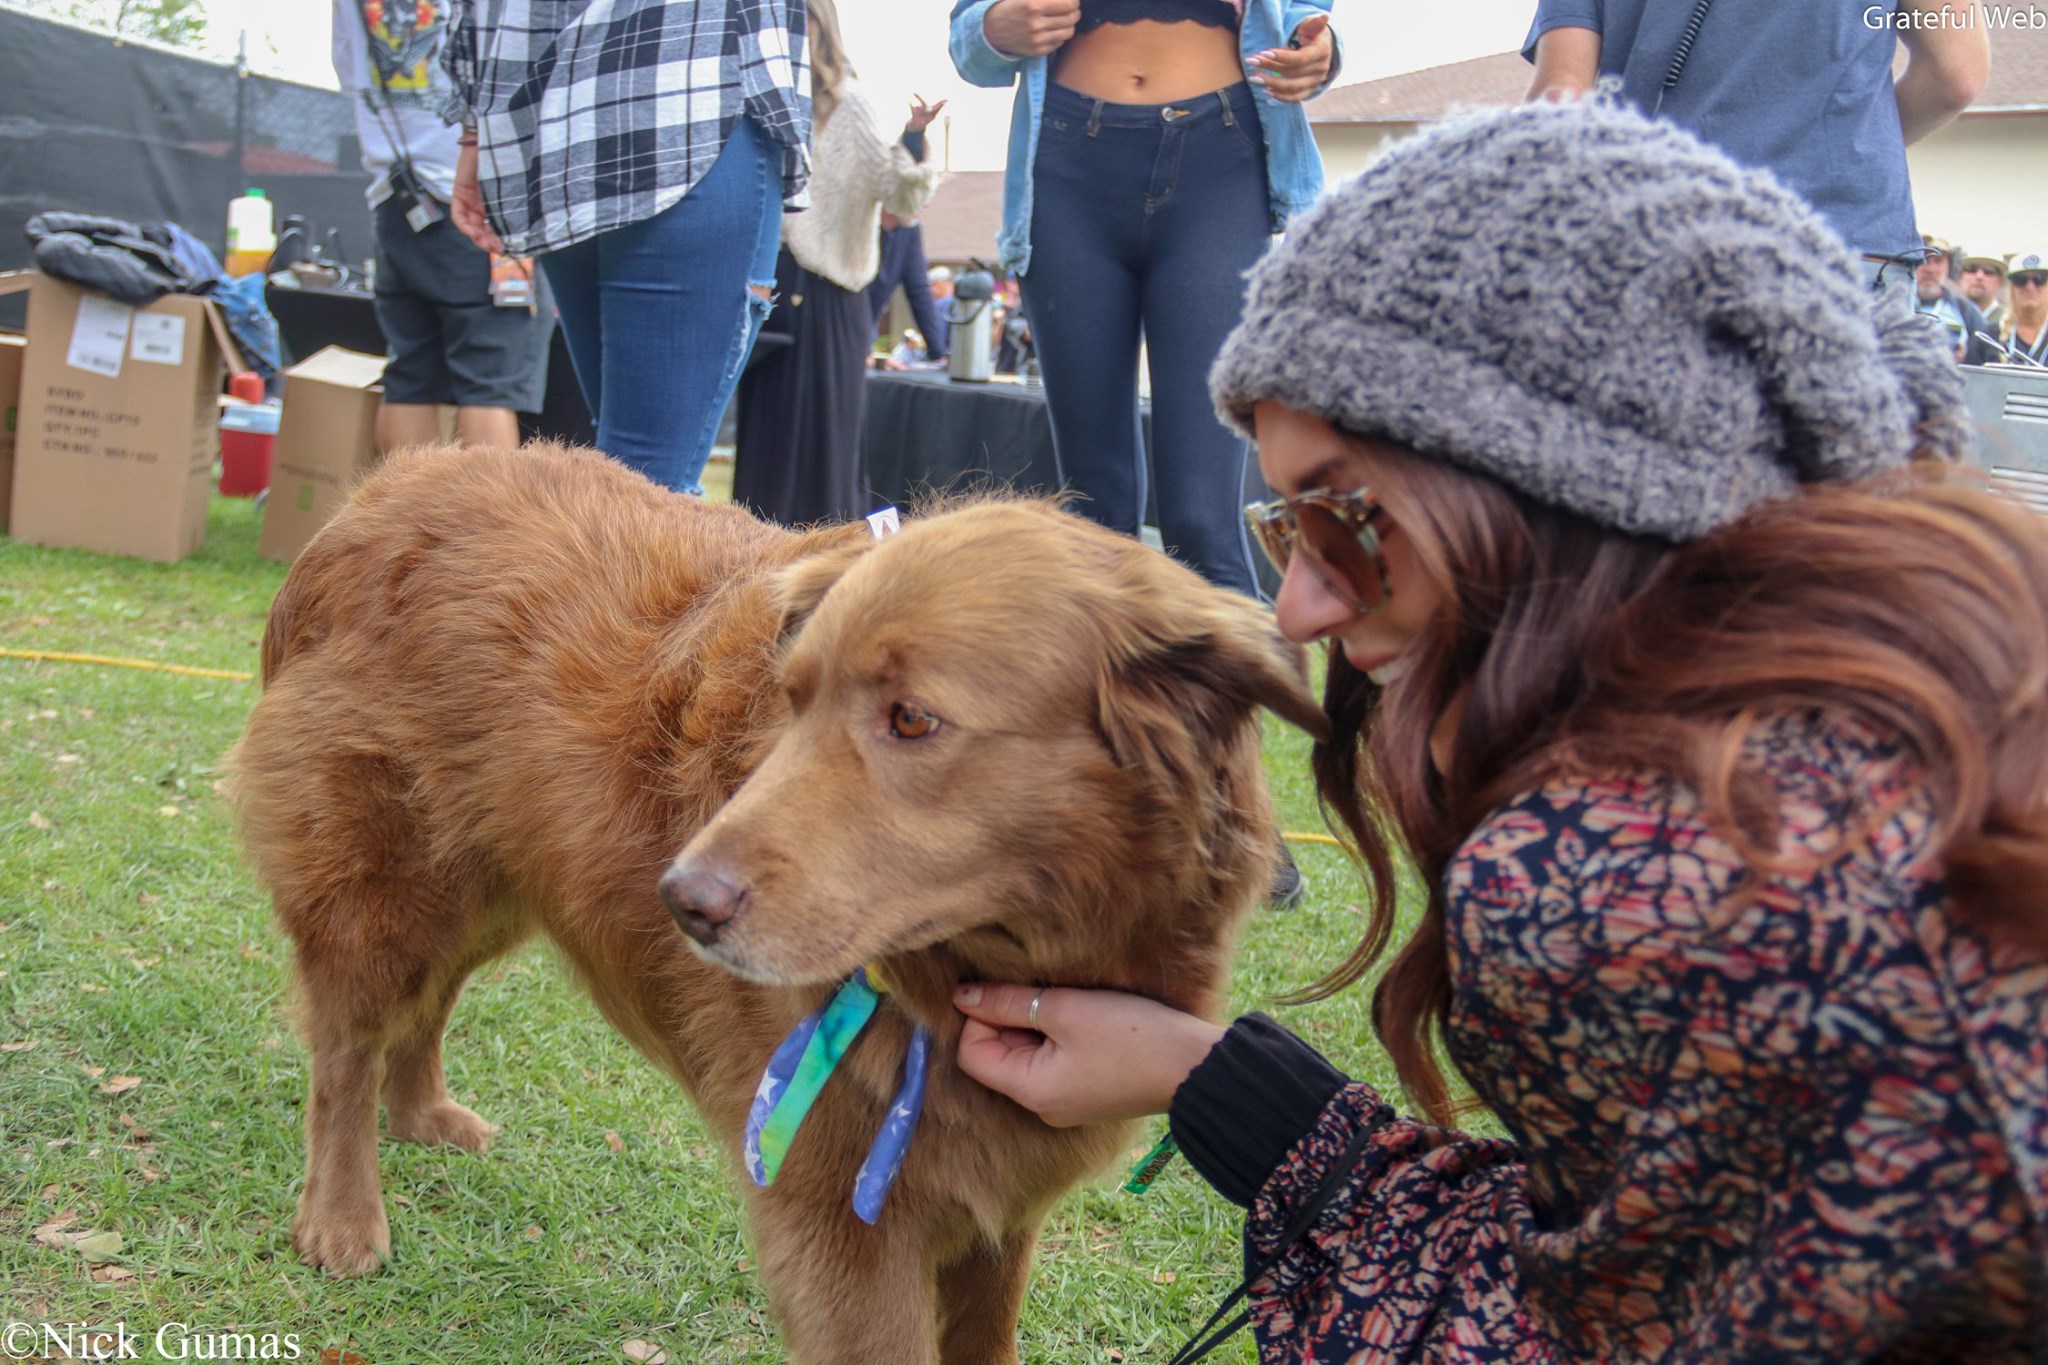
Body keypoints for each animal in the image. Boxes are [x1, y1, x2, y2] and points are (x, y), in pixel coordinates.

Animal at [232, 444, 1327, 1358]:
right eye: (791, 702)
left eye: (911, 720)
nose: (680, 901)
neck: (988, 963)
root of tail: (382, 487)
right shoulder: (843, 1228)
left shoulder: (996, 1209)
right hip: (388, 884)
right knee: (346, 1048)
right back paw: (341, 1218)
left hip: (493, 879)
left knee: (429, 1002)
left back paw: (422, 1115)